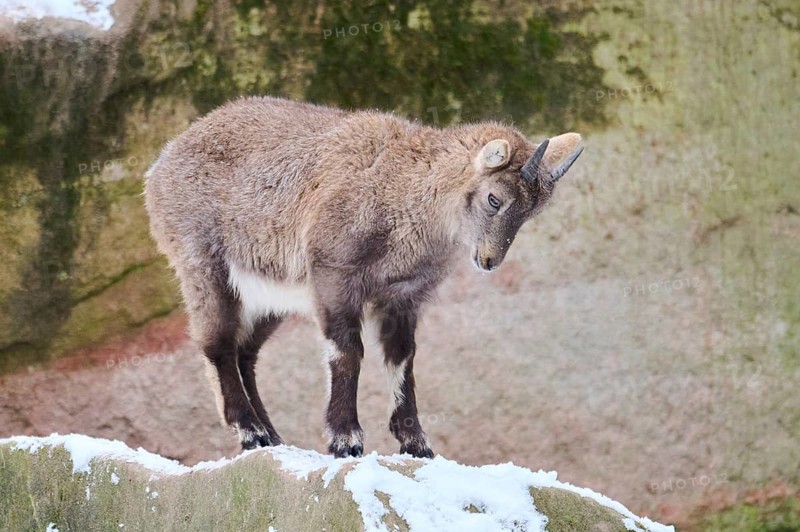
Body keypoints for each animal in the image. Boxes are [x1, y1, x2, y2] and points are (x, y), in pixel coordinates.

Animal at [144, 96, 583, 458]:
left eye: (530, 213)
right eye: (495, 198)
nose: (490, 260)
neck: (407, 193)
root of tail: (159, 167)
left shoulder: (403, 295)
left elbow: (402, 357)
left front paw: (416, 443)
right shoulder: (335, 277)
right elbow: (347, 352)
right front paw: (345, 439)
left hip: (271, 296)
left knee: (245, 352)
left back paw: (272, 435)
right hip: (203, 264)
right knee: (217, 343)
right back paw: (250, 430)